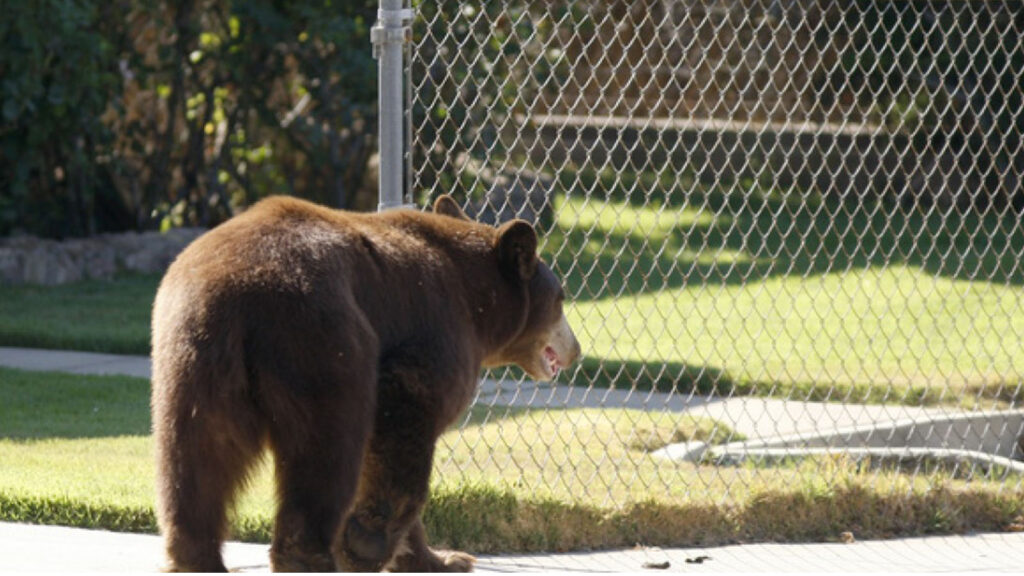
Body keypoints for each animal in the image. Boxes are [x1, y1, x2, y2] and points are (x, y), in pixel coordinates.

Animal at [151, 193, 585, 569]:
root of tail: (238, 295)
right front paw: (367, 542)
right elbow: (406, 420)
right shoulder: (435, 331)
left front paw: (443, 559)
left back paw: (196, 558)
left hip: (191, 361)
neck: (479, 304)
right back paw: (312, 557)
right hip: (323, 342)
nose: (576, 349)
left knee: (196, 460)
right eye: (561, 297)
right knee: (326, 451)